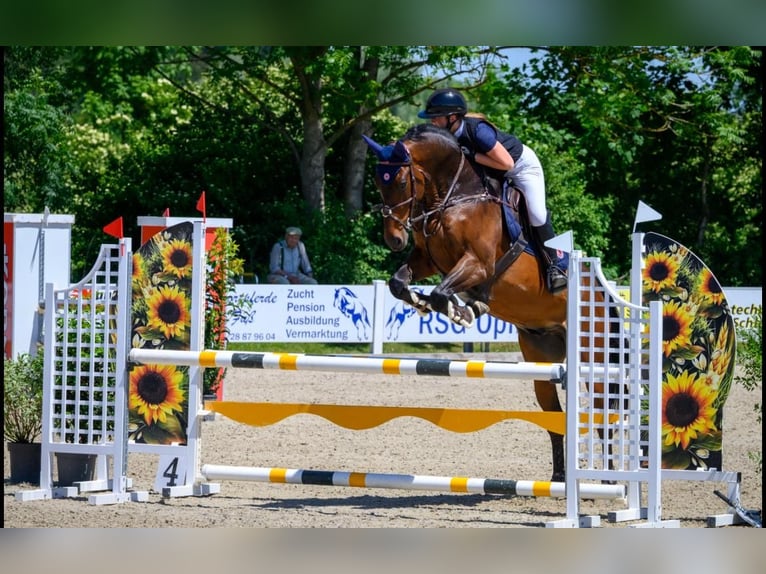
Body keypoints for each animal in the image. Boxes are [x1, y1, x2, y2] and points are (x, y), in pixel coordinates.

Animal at [364, 124, 570, 481]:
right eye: (378, 182)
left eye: (402, 182)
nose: (395, 239)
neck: (455, 196)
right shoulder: (428, 260)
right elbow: (399, 283)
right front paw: (427, 302)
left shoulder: (478, 264)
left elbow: (441, 293)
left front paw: (461, 311)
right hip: (542, 360)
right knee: (556, 417)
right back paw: (560, 478)